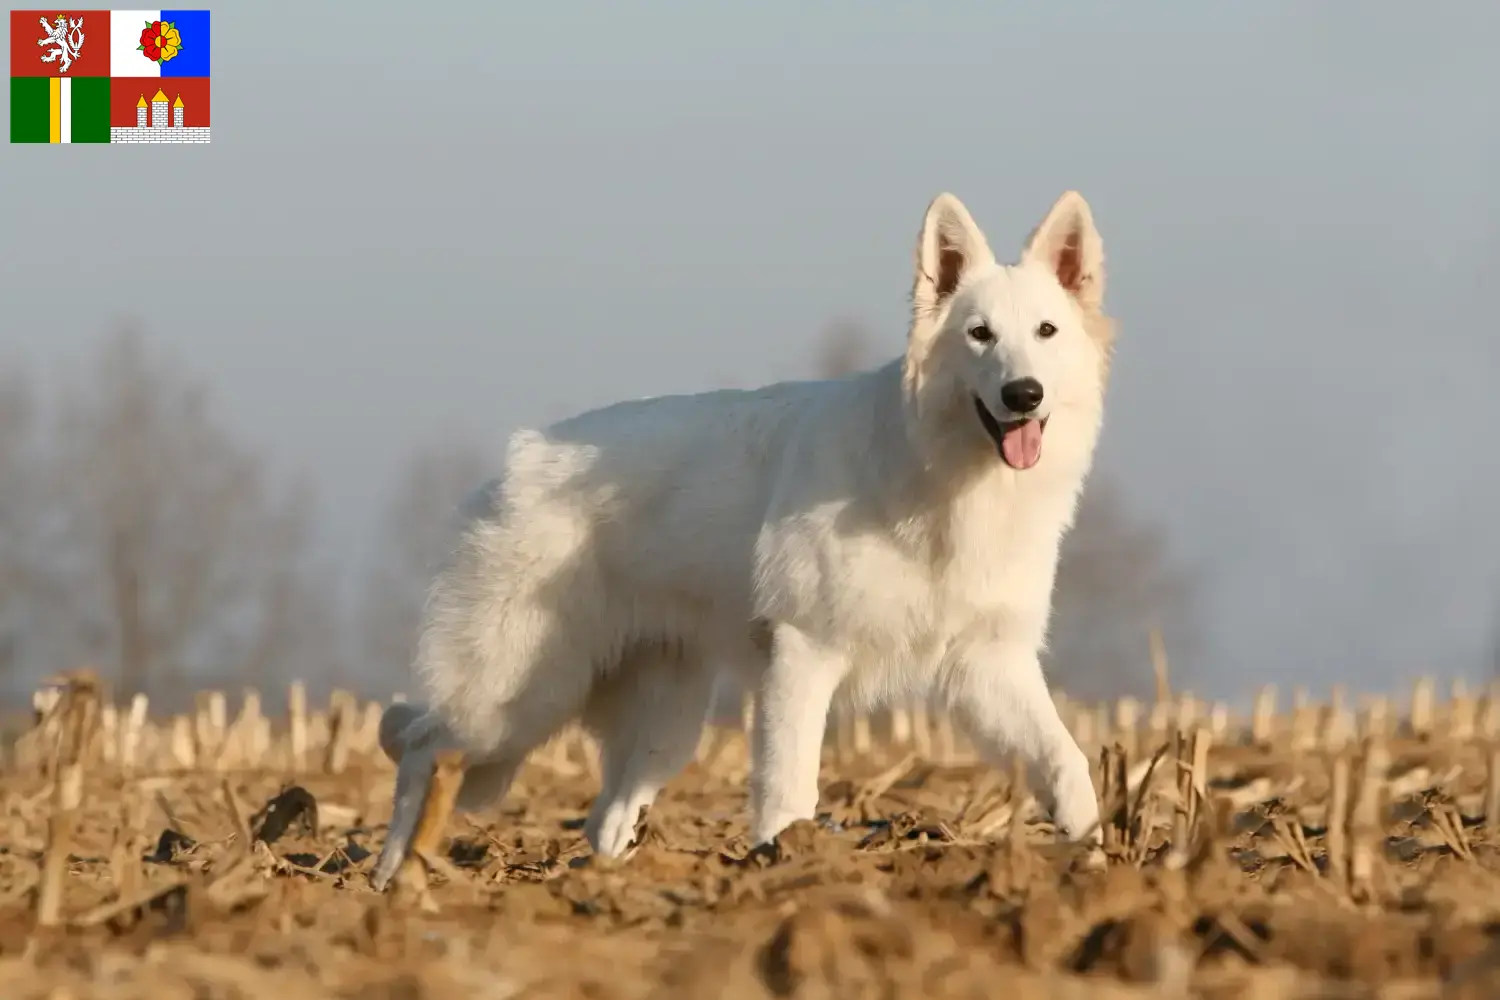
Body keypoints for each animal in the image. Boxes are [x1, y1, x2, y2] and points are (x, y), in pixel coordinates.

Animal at [372, 191, 1116, 887]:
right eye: (979, 335)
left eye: (1046, 331)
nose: (1024, 394)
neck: (940, 478)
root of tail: (515, 464)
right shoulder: (805, 657)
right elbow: (790, 790)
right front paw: (787, 866)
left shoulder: (989, 665)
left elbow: (1067, 760)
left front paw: (1103, 859)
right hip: (513, 702)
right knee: (421, 749)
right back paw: (391, 877)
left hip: (660, 727)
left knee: (604, 814)